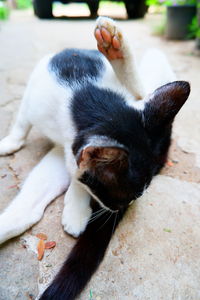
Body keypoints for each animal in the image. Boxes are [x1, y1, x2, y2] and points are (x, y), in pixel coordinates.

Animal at [0, 17, 191, 300]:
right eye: (123, 197)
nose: (120, 207)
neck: (86, 97)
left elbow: (80, 177)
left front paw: (78, 206)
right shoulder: (33, 98)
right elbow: (22, 123)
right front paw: (12, 141)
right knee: (27, 208)